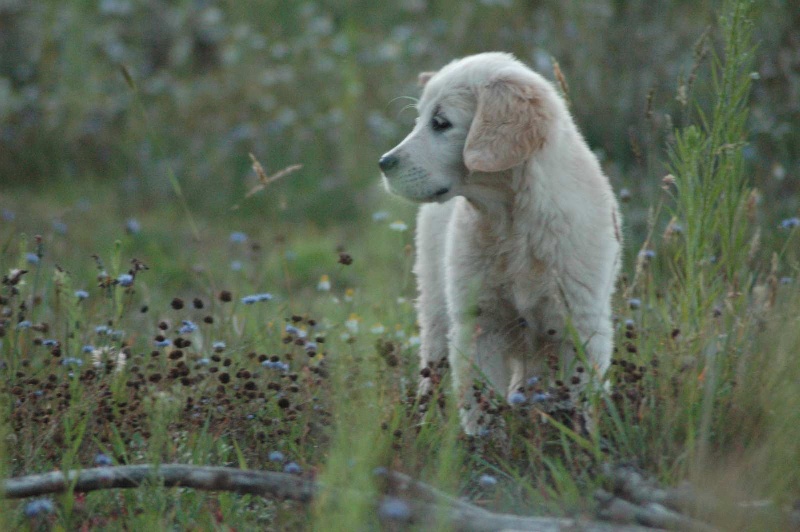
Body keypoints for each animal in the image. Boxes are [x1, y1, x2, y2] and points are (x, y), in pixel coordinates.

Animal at [378, 53, 620, 436]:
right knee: (432, 365)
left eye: (440, 123)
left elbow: (577, 400)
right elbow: (481, 401)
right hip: (435, 303)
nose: (383, 163)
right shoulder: (479, 323)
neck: (512, 222)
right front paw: (485, 443)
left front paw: (577, 441)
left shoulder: (580, 327)